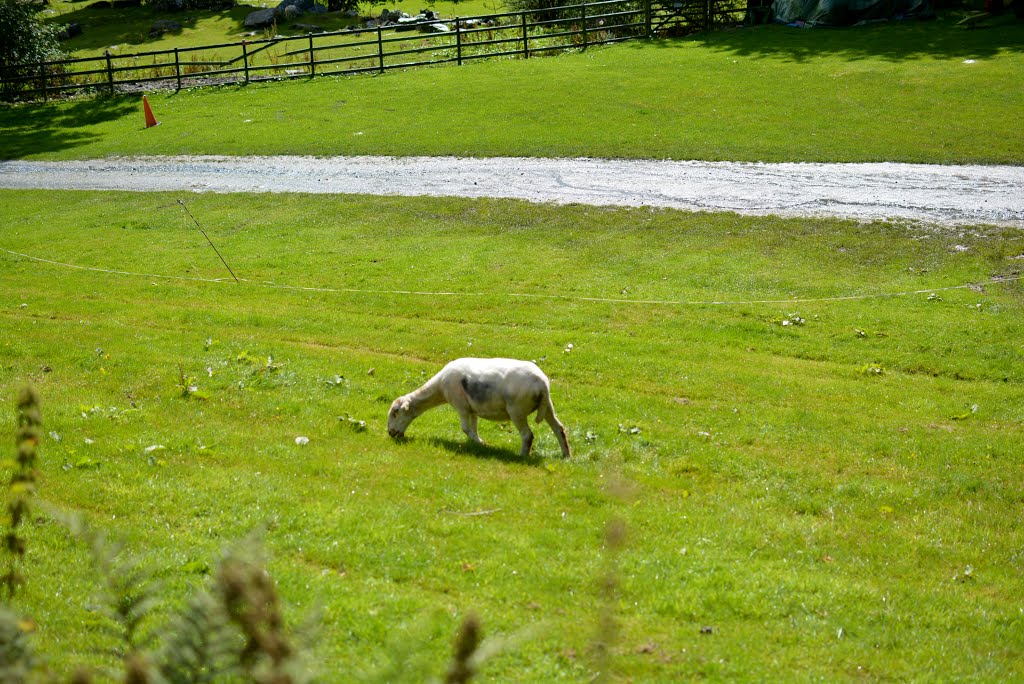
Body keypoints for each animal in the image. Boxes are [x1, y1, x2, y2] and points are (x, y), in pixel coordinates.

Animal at [387, 358, 573, 458]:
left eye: (395, 413)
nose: (390, 433)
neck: (439, 388)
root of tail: (542, 384)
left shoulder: (461, 406)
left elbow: (465, 428)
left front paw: (482, 444)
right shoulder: (472, 409)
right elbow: (473, 427)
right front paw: (476, 443)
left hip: (517, 410)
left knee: (527, 435)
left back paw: (522, 456)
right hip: (548, 407)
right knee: (559, 428)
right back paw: (566, 455)